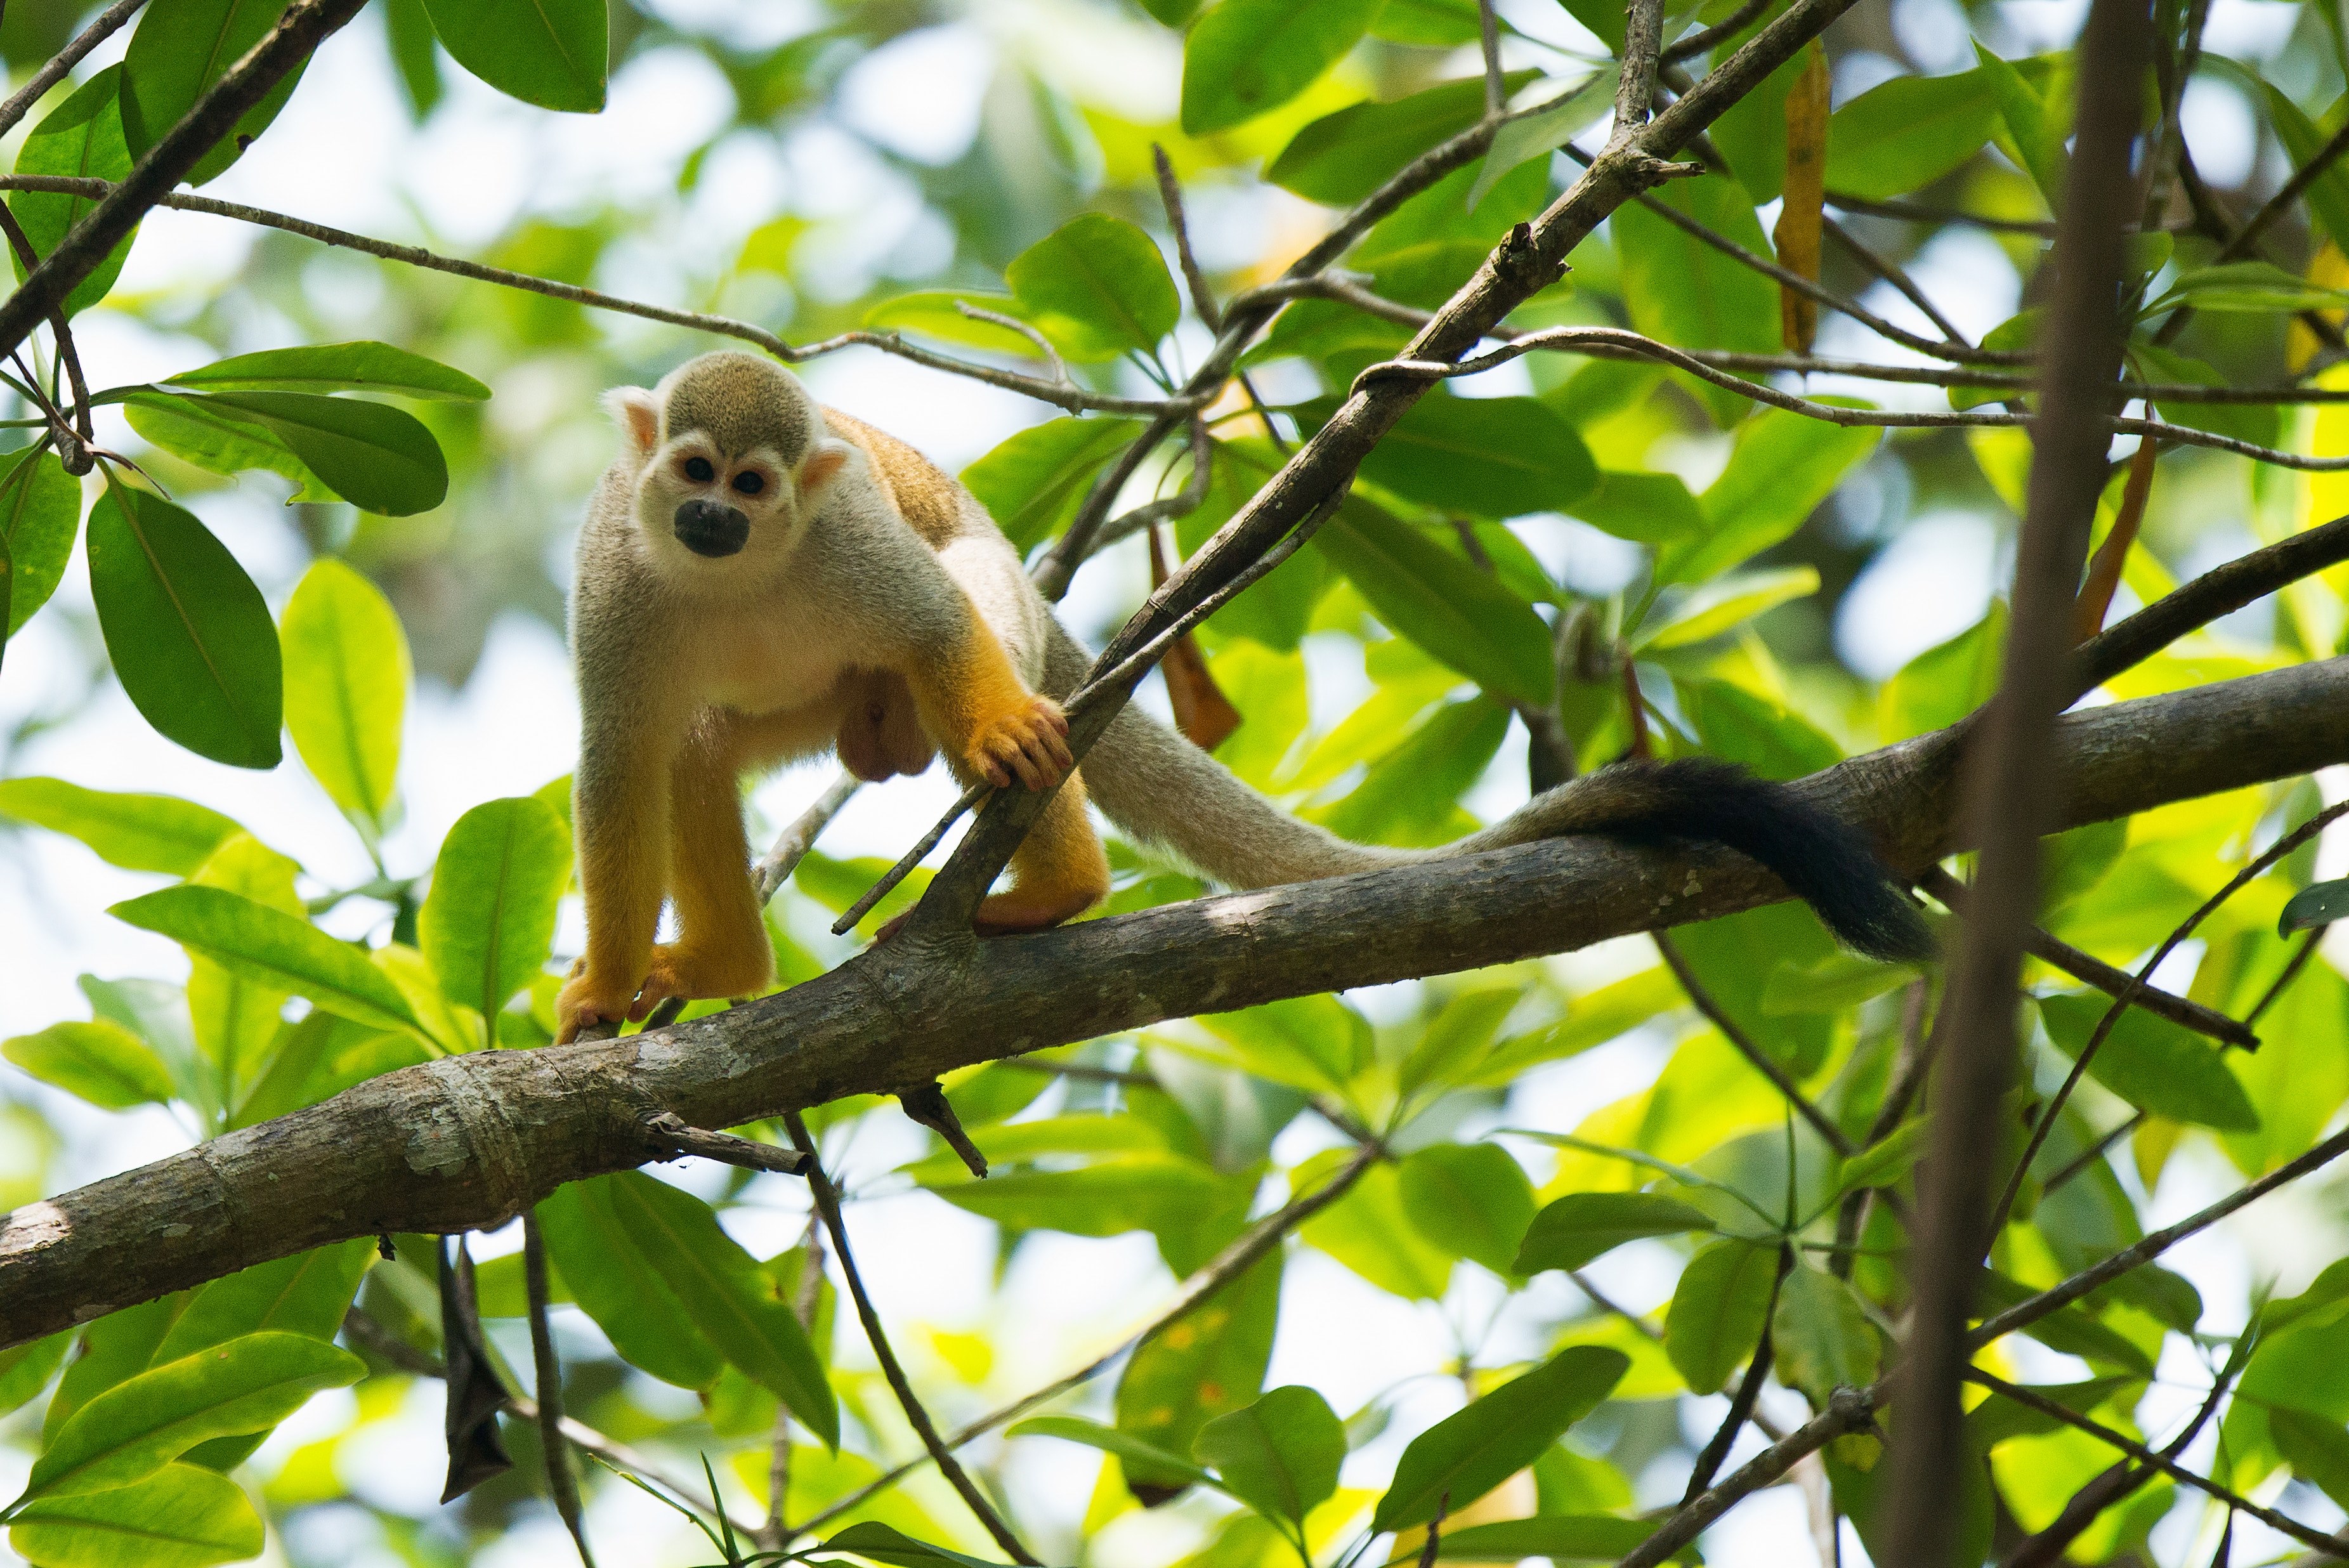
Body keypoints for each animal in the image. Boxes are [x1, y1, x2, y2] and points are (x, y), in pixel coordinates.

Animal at [555, 350, 1930, 1043]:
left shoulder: (844, 543)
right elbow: (621, 761)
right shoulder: (611, 577)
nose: (714, 518)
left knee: (973, 631)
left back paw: (1054, 880)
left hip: (984, 602)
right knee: (697, 745)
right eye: (692, 471)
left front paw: (1003, 741)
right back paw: (728, 960)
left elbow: (939, 627)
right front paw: (606, 990)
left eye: (752, 481)